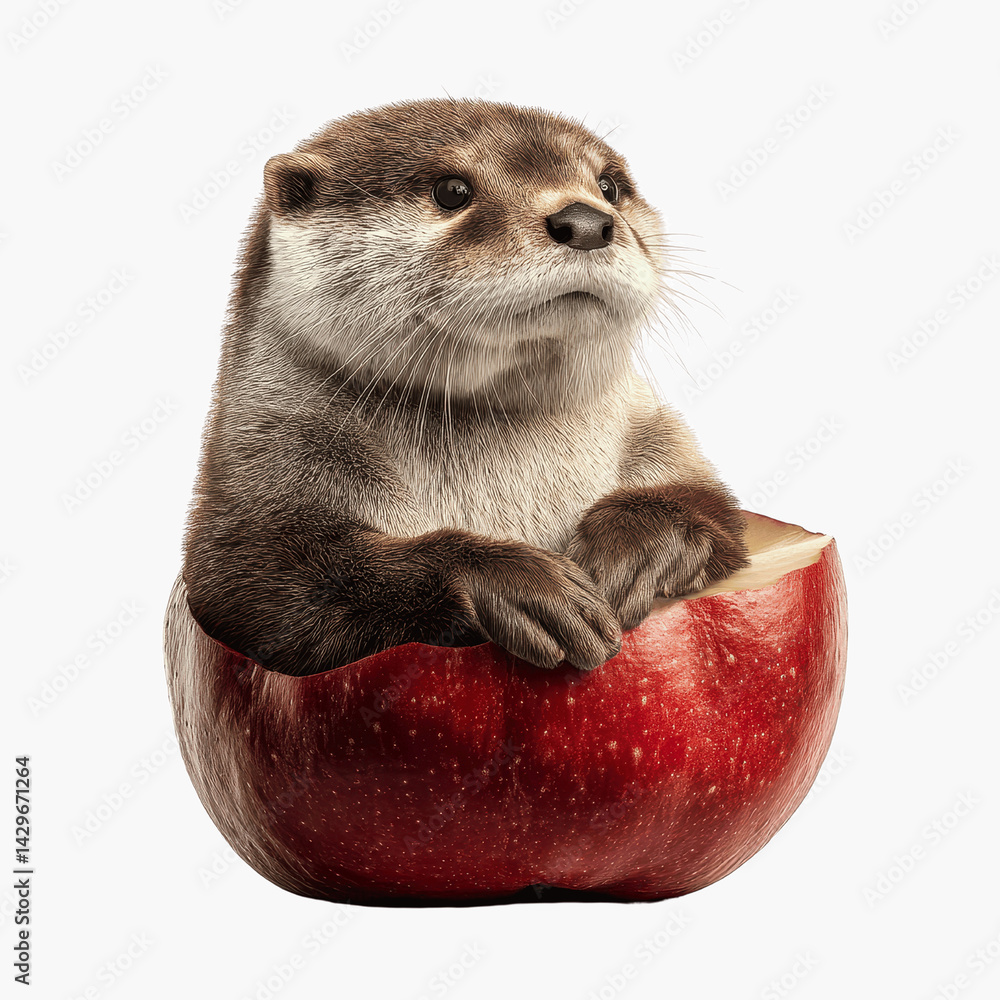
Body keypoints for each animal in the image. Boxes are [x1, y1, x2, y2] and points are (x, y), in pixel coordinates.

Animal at [182, 98, 748, 676]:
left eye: (609, 185)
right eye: (451, 190)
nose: (587, 221)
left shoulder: (654, 435)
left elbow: (714, 509)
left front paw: (635, 548)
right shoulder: (271, 453)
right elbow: (259, 578)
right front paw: (515, 582)